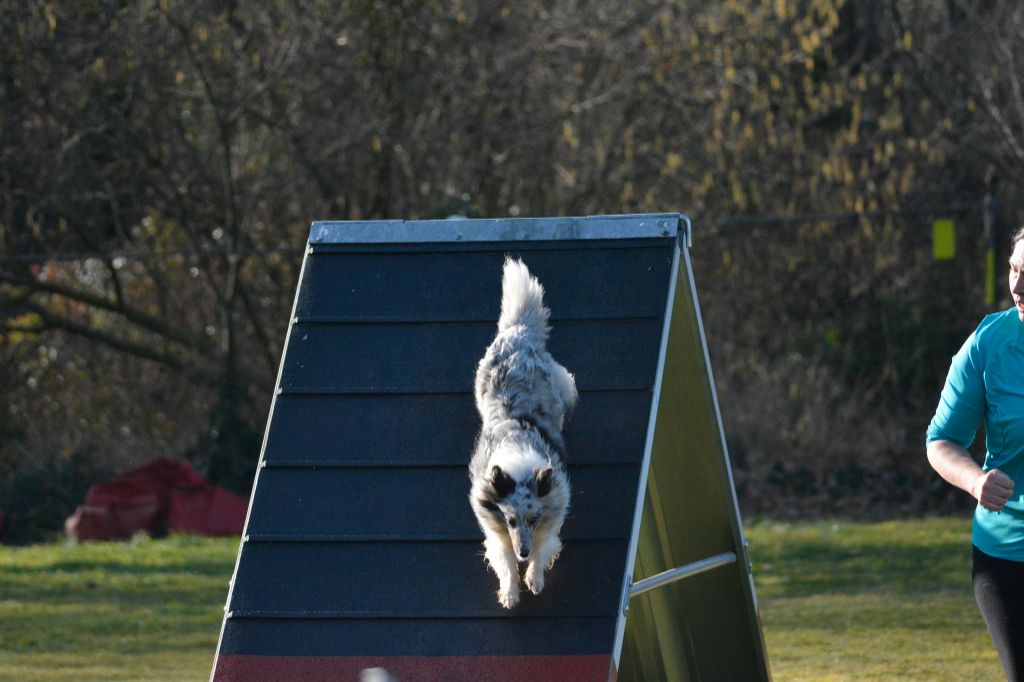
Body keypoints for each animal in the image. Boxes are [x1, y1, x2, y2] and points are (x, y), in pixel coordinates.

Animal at [468, 256, 577, 606]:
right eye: (511, 520)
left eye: (533, 518)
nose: (523, 553)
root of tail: (519, 333)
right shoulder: (496, 530)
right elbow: (502, 559)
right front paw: (511, 593)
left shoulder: (552, 512)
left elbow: (545, 547)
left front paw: (534, 579)